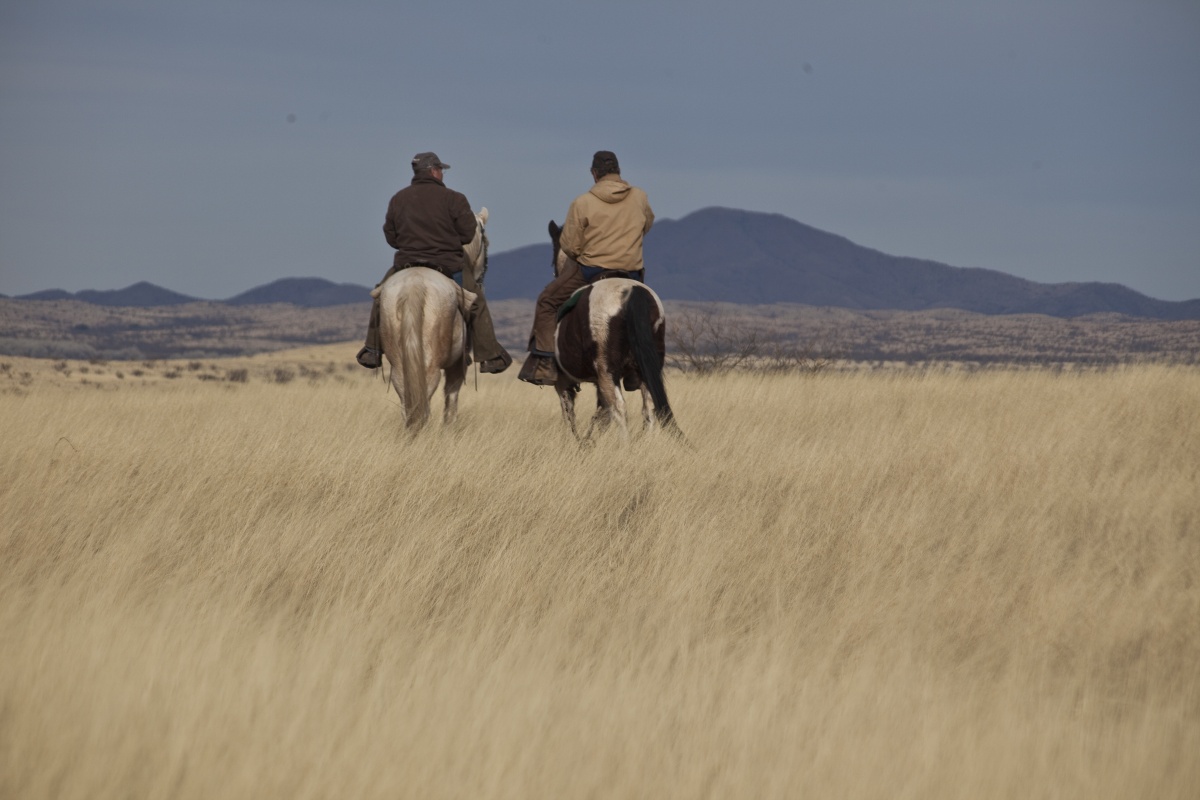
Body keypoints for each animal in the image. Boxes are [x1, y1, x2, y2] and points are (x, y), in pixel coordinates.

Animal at [372, 206, 489, 431]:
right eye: (485, 239)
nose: (482, 276)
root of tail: (415, 285)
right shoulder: (457, 365)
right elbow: (451, 399)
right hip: (432, 364)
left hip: (399, 364)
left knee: (407, 401)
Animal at [549, 220, 681, 438]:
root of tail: (631, 292)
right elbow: (600, 413)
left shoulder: (563, 380)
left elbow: (569, 414)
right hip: (647, 369)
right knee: (649, 407)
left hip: (607, 372)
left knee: (620, 408)